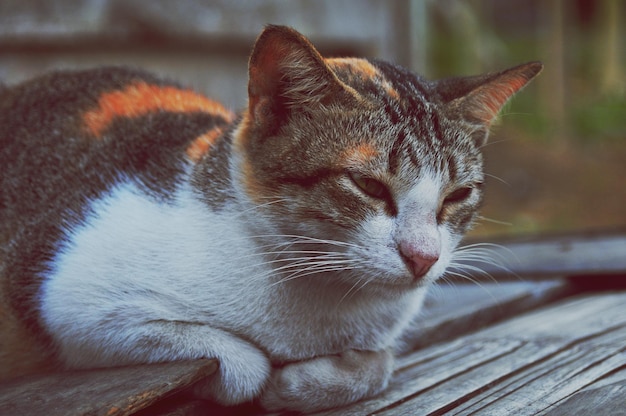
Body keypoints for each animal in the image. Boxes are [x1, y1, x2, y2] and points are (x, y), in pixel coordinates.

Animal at [0, 26, 536, 412]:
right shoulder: (76, 307)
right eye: (368, 186)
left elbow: (380, 363)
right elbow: (240, 358)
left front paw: (311, 380)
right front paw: (247, 381)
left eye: (458, 194)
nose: (424, 257)